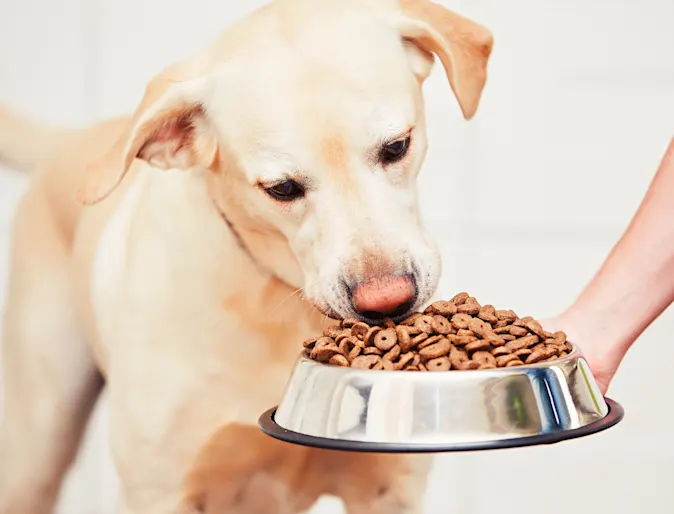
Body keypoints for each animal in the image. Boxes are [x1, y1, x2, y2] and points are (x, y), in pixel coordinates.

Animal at [0, 0, 488, 510]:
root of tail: (75, 137)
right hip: (37, 446)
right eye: (282, 189)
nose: (387, 301)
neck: (277, 298)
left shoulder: (387, 489)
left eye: (396, 147)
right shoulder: (158, 492)